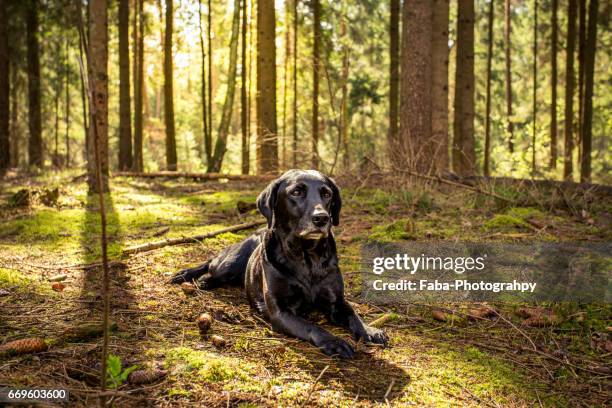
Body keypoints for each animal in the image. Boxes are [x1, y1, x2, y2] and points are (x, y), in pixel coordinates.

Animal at [171, 169, 388, 356]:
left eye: (327, 194)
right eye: (296, 192)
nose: (322, 218)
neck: (306, 257)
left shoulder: (337, 301)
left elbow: (353, 314)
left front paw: (369, 329)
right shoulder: (280, 311)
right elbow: (311, 326)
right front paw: (335, 342)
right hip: (228, 264)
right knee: (210, 262)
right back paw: (189, 276)